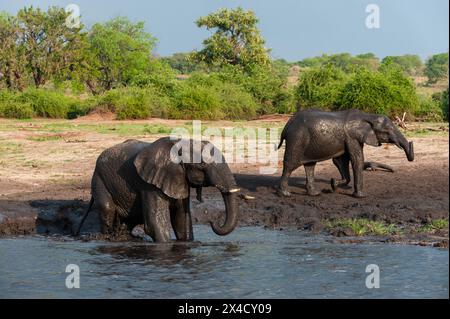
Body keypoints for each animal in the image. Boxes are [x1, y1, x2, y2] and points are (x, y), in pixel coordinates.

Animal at [75, 137, 241, 242]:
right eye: (202, 165)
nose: (213, 221)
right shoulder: (148, 183)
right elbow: (155, 224)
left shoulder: (179, 179)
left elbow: (181, 221)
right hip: (99, 179)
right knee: (107, 208)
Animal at [278, 109, 414, 198]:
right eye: (387, 131)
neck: (369, 116)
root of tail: (286, 126)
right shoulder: (352, 136)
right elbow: (356, 159)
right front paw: (361, 196)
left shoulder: (347, 139)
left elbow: (341, 161)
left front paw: (333, 184)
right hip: (297, 139)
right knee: (290, 164)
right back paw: (285, 194)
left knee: (310, 165)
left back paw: (315, 194)